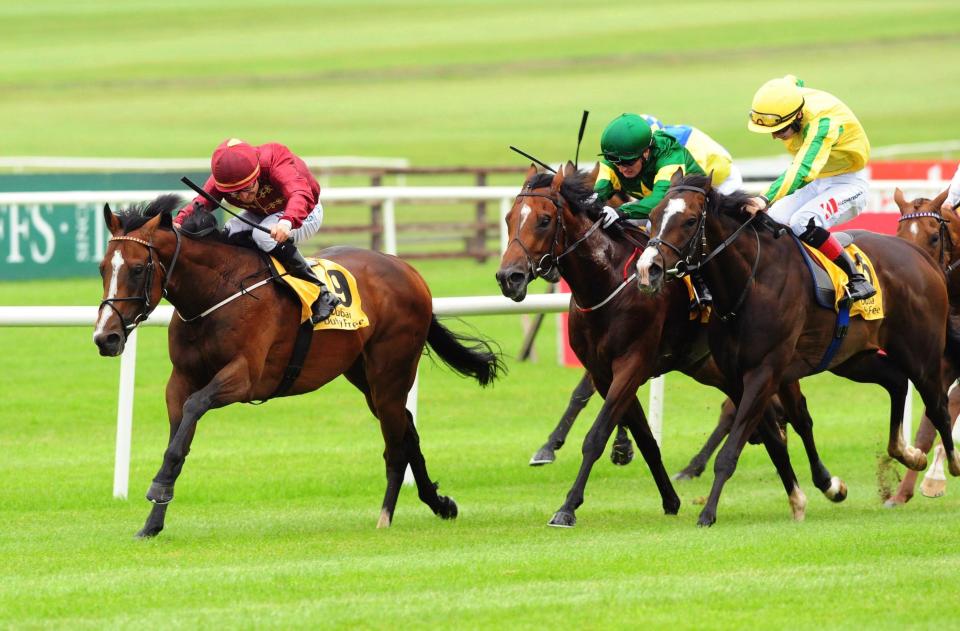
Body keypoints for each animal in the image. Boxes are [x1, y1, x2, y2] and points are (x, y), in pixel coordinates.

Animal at [94, 195, 506, 536]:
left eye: (137, 269)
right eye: (102, 268)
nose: (106, 337)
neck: (215, 294)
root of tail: (410, 271)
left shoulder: (245, 376)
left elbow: (194, 410)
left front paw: (158, 486)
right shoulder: (180, 379)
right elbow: (178, 439)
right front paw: (153, 520)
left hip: (391, 371)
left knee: (396, 444)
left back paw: (385, 516)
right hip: (364, 376)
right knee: (408, 430)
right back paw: (440, 504)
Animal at [498, 163, 844, 528]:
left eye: (544, 219)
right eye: (508, 218)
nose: (509, 277)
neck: (607, 282)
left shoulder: (632, 363)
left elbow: (596, 434)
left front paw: (567, 506)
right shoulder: (603, 372)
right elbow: (644, 437)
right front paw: (669, 498)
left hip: (773, 364)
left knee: (798, 416)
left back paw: (826, 482)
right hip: (719, 370)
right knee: (764, 421)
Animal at [636, 173, 960, 528]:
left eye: (691, 220)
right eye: (653, 216)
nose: (648, 268)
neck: (752, 282)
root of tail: (920, 257)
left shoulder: (764, 372)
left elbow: (731, 451)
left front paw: (707, 514)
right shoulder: (739, 377)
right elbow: (775, 441)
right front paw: (807, 496)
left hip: (921, 355)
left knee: (938, 408)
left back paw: (946, 468)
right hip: (851, 359)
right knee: (896, 381)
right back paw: (908, 454)